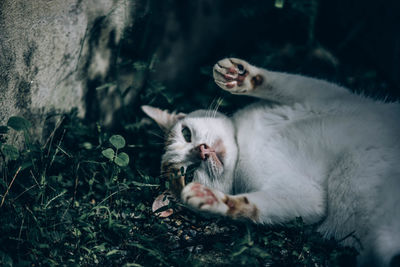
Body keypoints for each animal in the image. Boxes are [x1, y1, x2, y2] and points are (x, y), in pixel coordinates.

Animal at [141, 57, 400, 266]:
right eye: (189, 173)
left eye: (186, 133)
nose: (202, 151)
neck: (243, 142)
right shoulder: (305, 196)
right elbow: (257, 206)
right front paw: (214, 199)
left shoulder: (327, 97)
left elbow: (289, 83)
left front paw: (239, 76)